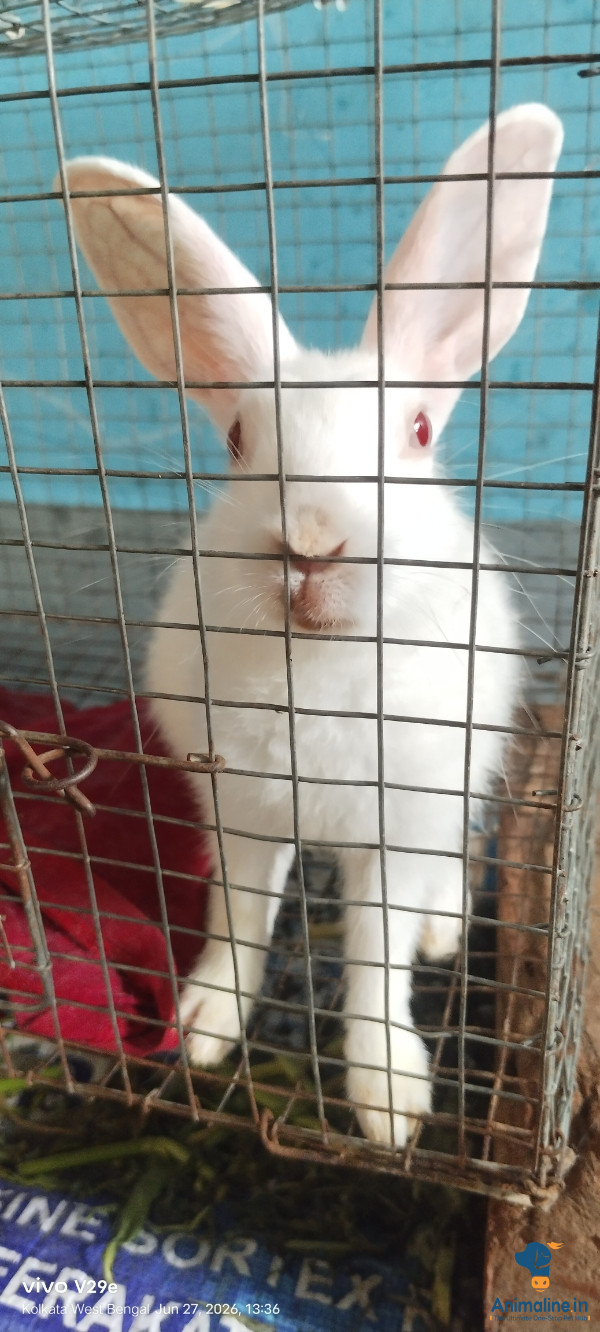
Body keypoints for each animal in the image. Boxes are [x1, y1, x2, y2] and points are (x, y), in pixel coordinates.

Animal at [62, 103, 563, 1146]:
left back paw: (444, 926)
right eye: (236, 440)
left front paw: (390, 1100)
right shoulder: (242, 814)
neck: (321, 666)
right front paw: (205, 1026)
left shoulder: (396, 828)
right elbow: (241, 923)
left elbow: (374, 959)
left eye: (416, 432)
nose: (314, 540)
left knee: (451, 862)